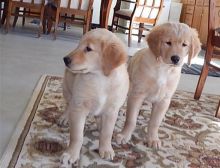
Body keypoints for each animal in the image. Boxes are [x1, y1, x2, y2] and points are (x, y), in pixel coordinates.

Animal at [59, 28, 130, 166]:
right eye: (78, 45)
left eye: (88, 49)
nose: (65, 59)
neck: (100, 79)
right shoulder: (79, 107)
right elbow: (77, 136)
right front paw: (71, 153)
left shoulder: (111, 111)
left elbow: (107, 133)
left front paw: (106, 149)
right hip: (68, 88)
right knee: (68, 104)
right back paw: (64, 117)